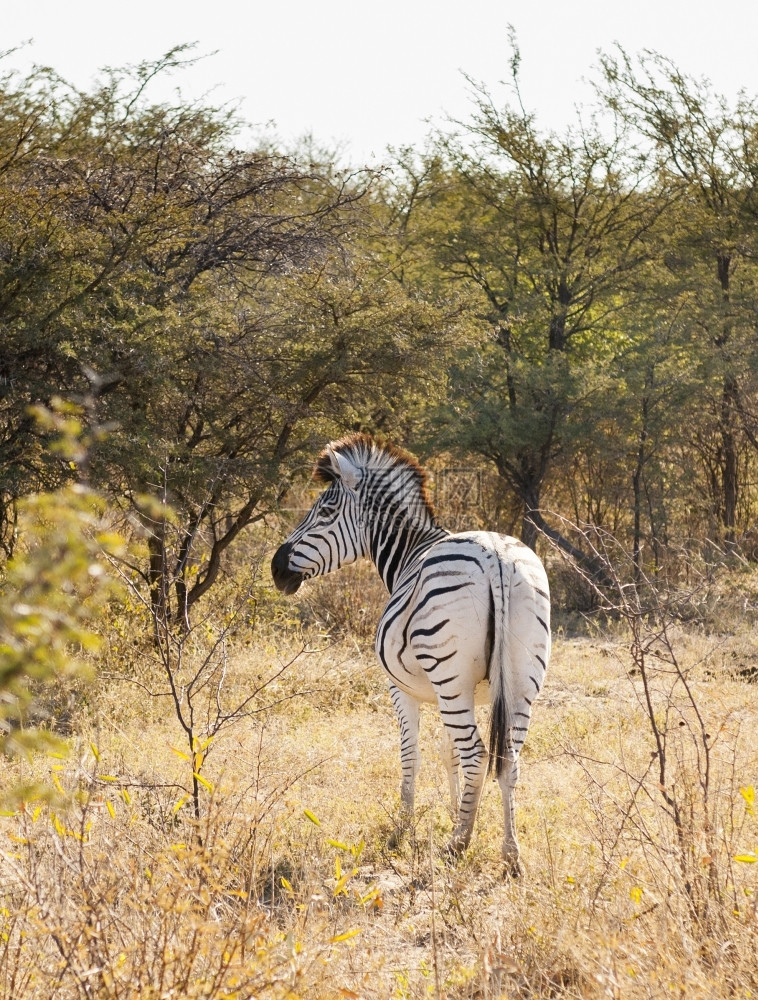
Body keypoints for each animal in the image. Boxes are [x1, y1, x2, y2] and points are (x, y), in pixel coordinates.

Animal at [274, 434, 552, 872]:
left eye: (325, 511)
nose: (276, 568)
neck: (410, 551)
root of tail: (496, 556)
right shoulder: (462, 694)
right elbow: (448, 754)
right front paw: (457, 812)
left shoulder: (402, 689)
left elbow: (412, 755)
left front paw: (404, 828)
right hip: (521, 681)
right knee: (507, 759)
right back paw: (510, 854)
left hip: (450, 676)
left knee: (477, 755)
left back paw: (458, 845)